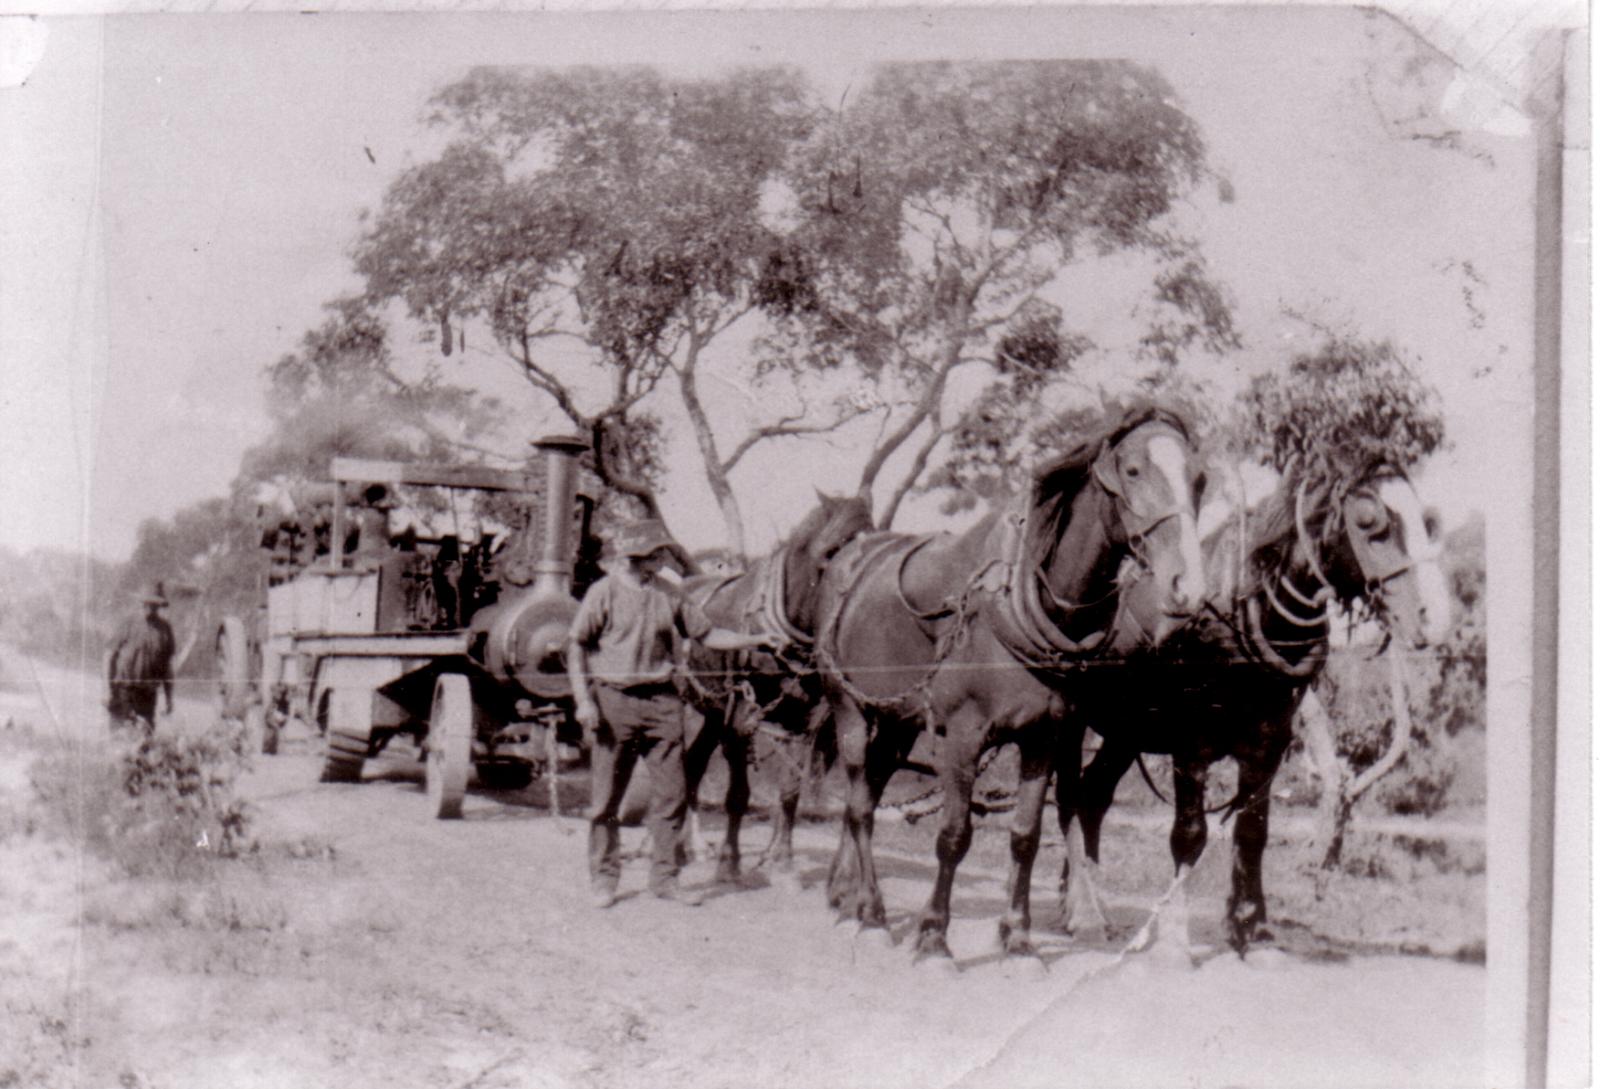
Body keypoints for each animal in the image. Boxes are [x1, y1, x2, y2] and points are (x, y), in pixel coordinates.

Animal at [678, 492, 876, 882]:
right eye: (832, 551)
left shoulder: (803, 723)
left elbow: (789, 793)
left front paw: (783, 858)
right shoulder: (742, 717)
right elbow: (738, 793)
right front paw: (730, 861)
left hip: (711, 713)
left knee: (693, 764)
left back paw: (693, 846)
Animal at [812, 407, 1203, 959]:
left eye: (1199, 479)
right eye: (1132, 471)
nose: (1186, 586)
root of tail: (852, 557)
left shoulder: (1044, 736)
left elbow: (1025, 836)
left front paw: (1018, 937)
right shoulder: (962, 737)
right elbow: (954, 834)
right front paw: (934, 936)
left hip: (896, 723)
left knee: (865, 793)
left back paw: (850, 898)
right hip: (849, 708)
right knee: (861, 806)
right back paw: (870, 912)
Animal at [1056, 463, 1459, 953]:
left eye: (1427, 522)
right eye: (1369, 523)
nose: (1434, 617)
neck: (1244, 616)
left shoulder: (1268, 746)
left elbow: (1253, 832)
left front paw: (1251, 926)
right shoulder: (1191, 748)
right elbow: (1189, 834)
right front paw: (1174, 937)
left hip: (1124, 731)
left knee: (1091, 796)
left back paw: (1079, 900)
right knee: (1069, 799)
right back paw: (1082, 909)